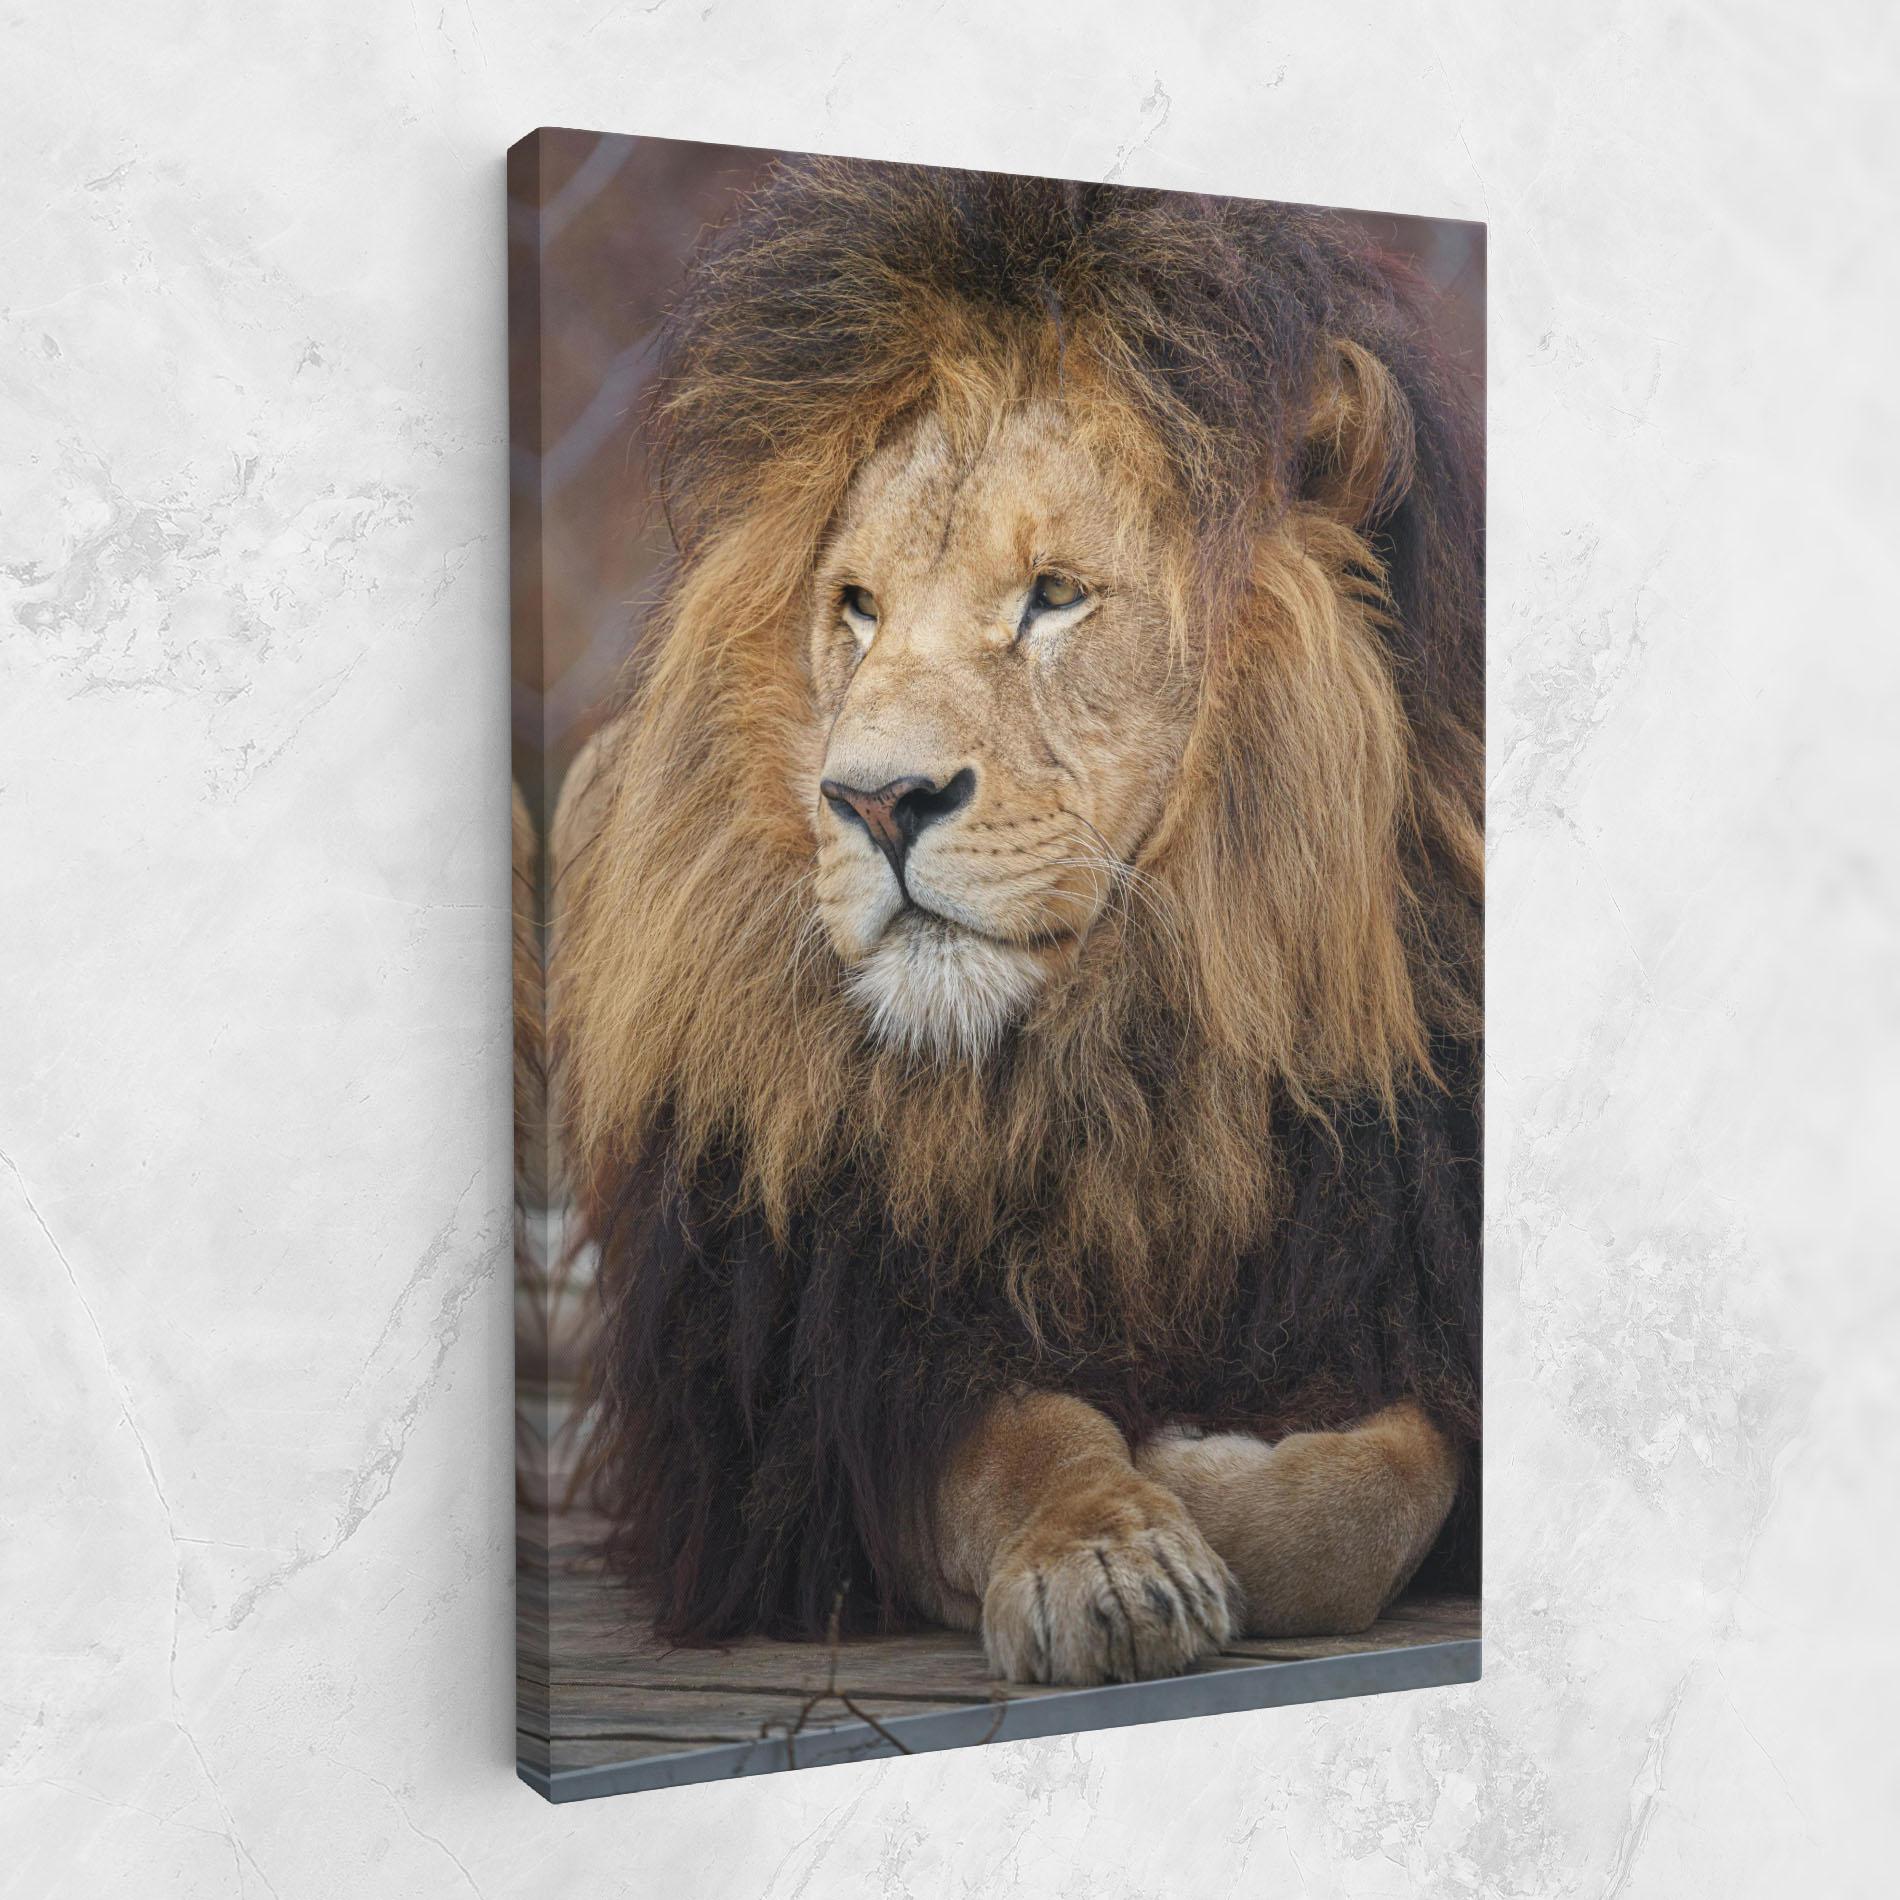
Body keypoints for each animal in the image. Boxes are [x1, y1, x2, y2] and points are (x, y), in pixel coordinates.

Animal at [551, 160, 1483, 1686]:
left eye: (1056, 596)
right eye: (857, 611)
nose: (874, 801)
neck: (1119, 1067)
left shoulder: (1396, 1280)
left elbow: (1371, 1499)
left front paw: (1208, 1461)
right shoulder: (830, 1391)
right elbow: (1022, 1444)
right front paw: (1113, 1552)